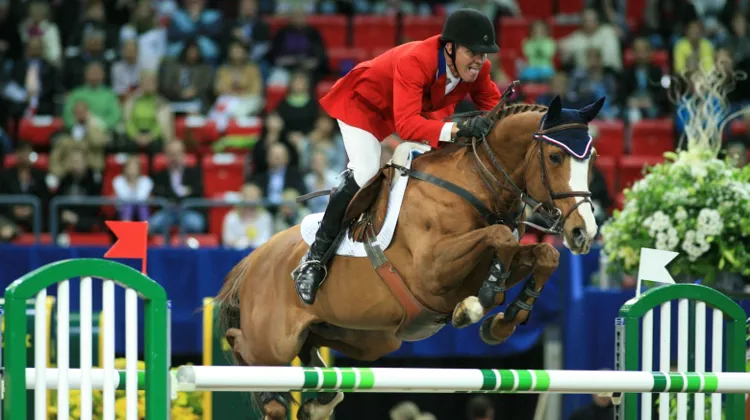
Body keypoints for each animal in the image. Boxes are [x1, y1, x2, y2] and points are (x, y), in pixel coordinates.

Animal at [214, 92, 604, 420]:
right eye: (555, 157)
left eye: (593, 159)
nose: (583, 233)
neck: (475, 183)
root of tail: (252, 261)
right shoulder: (432, 271)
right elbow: (500, 238)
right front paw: (479, 305)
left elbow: (543, 254)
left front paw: (503, 320)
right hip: (275, 342)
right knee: (242, 343)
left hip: (370, 338)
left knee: (314, 348)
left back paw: (320, 399)